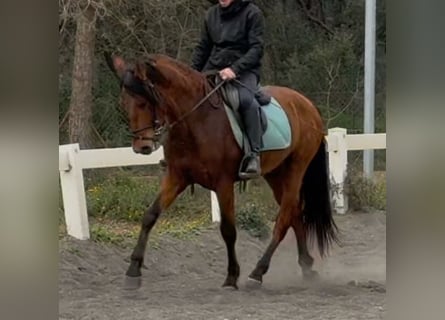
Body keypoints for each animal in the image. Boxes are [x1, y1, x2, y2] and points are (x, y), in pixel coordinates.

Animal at [106, 53, 338, 290]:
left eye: (146, 101)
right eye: (124, 103)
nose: (141, 147)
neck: (196, 120)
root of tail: (307, 104)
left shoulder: (223, 183)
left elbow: (228, 229)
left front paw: (232, 276)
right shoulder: (176, 177)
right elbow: (150, 216)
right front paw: (133, 270)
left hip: (296, 169)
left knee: (284, 218)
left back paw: (258, 272)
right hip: (275, 174)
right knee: (294, 212)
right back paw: (306, 266)